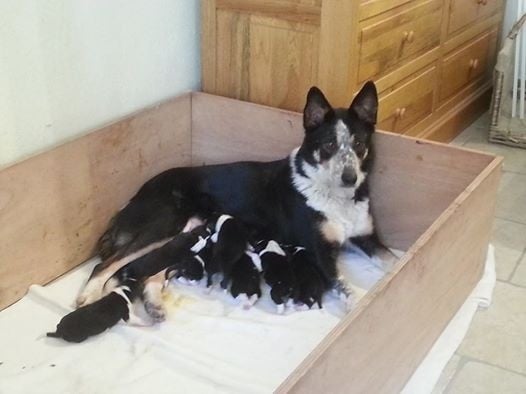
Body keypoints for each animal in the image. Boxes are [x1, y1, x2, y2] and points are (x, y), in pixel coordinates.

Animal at [76, 81, 394, 318]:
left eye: (358, 144)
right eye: (329, 144)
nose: (350, 178)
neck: (334, 195)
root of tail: (135, 196)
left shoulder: (367, 238)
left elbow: (390, 261)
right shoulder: (320, 253)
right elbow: (348, 287)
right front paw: (360, 305)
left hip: (183, 237)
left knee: (148, 274)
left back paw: (153, 305)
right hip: (165, 223)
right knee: (107, 265)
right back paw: (88, 294)